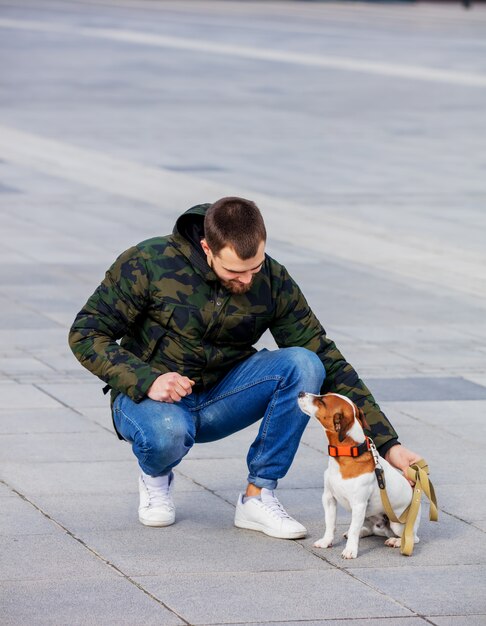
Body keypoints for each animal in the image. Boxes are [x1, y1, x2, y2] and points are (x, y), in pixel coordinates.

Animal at [298, 390, 420, 556]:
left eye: (322, 401)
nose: (300, 392)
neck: (347, 455)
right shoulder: (329, 498)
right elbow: (330, 523)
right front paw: (326, 541)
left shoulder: (359, 505)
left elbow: (353, 529)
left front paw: (350, 550)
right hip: (368, 516)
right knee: (371, 529)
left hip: (397, 524)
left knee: (413, 538)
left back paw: (395, 541)